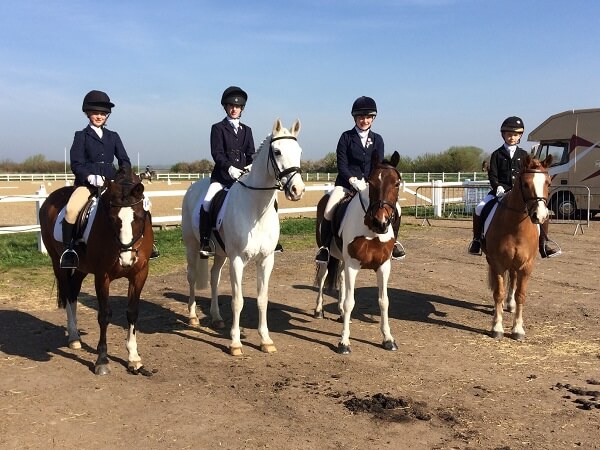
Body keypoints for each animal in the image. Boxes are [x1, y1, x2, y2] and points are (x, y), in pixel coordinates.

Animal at [38, 167, 154, 374]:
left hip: (81, 268)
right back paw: (73, 337)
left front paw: (134, 358)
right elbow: (104, 315)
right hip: (58, 264)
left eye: (140, 218)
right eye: (113, 219)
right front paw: (102, 360)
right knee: (67, 293)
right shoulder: (102, 276)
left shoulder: (139, 274)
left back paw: (75, 338)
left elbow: (132, 312)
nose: (126, 260)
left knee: (73, 294)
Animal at [180, 118, 304, 356]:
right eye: (277, 151)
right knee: (191, 277)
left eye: (299, 151)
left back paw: (217, 318)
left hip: (220, 253)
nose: (297, 190)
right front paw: (235, 343)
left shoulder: (266, 260)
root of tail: (194, 187)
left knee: (214, 277)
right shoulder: (237, 260)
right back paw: (192, 318)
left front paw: (265, 340)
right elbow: (237, 301)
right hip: (192, 246)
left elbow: (262, 299)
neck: (256, 209)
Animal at [314, 151, 404, 356]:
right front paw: (344, 343)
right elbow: (350, 302)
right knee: (322, 277)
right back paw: (319, 310)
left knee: (339, 277)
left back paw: (339, 313)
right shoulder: (353, 265)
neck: (371, 230)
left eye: (397, 183)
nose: (381, 222)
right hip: (328, 257)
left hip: (342, 259)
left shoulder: (383, 266)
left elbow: (384, 301)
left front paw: (388, 339)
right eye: (371, 182)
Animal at [482, 155, 552, 342]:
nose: (540, 216)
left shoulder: (526, 266)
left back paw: (510, 304)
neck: (515, 227)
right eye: (526, 184)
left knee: (513, 278)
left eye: (548, 183)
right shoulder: (497, 263)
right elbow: (498, 292)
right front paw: (497, 327)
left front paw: (518, 329)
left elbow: (521, 295)